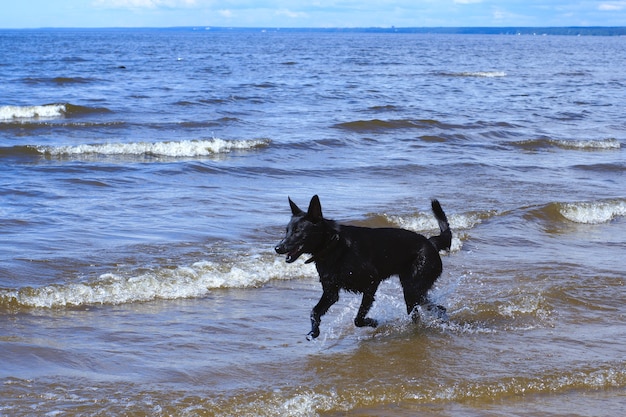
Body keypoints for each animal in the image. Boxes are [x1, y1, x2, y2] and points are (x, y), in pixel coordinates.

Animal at [272, 195, 448, 338]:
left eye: (297, 231)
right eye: (286, 231)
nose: (277, 248)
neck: (333, 246)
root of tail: (431, 243)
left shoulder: (371, 282)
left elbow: (358, 319)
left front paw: (373, 322)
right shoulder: (331, 292)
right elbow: (314, 311)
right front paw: (314, 331)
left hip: (412, 290)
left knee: (432, 309)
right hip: (414, 291)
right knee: (433, 309)